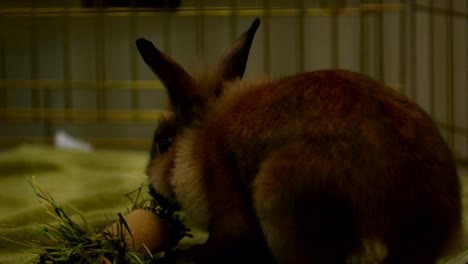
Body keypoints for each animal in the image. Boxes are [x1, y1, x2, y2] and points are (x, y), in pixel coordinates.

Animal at [137, 19, 462, 264]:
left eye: (163, 143)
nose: (152, 192)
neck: (202, 144)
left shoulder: (228, 208)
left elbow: (222, 243)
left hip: (276, 195)